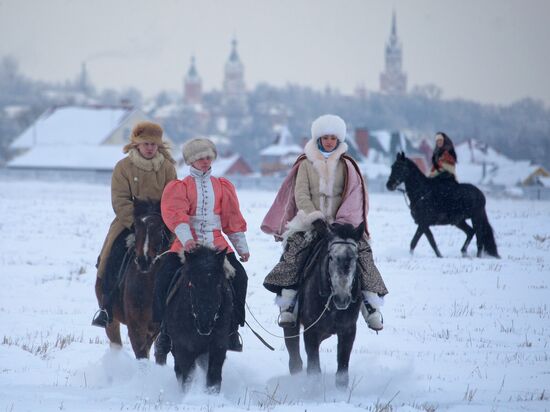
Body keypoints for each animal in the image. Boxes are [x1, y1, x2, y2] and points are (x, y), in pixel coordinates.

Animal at [164, 245, 233, 392]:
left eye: (218, 284)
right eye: (191, 284)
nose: (204, 324)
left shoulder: (218, 345)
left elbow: (214, 377)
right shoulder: (183, 347)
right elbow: (187, 377)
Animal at [284, 222, 366, 390]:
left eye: (355, 257)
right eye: (331, 257)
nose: (342, 299)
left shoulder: (348, 331)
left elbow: (342, 372)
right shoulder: (311, 331)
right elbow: (314, 370)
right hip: (291, 326)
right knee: (295, 359)